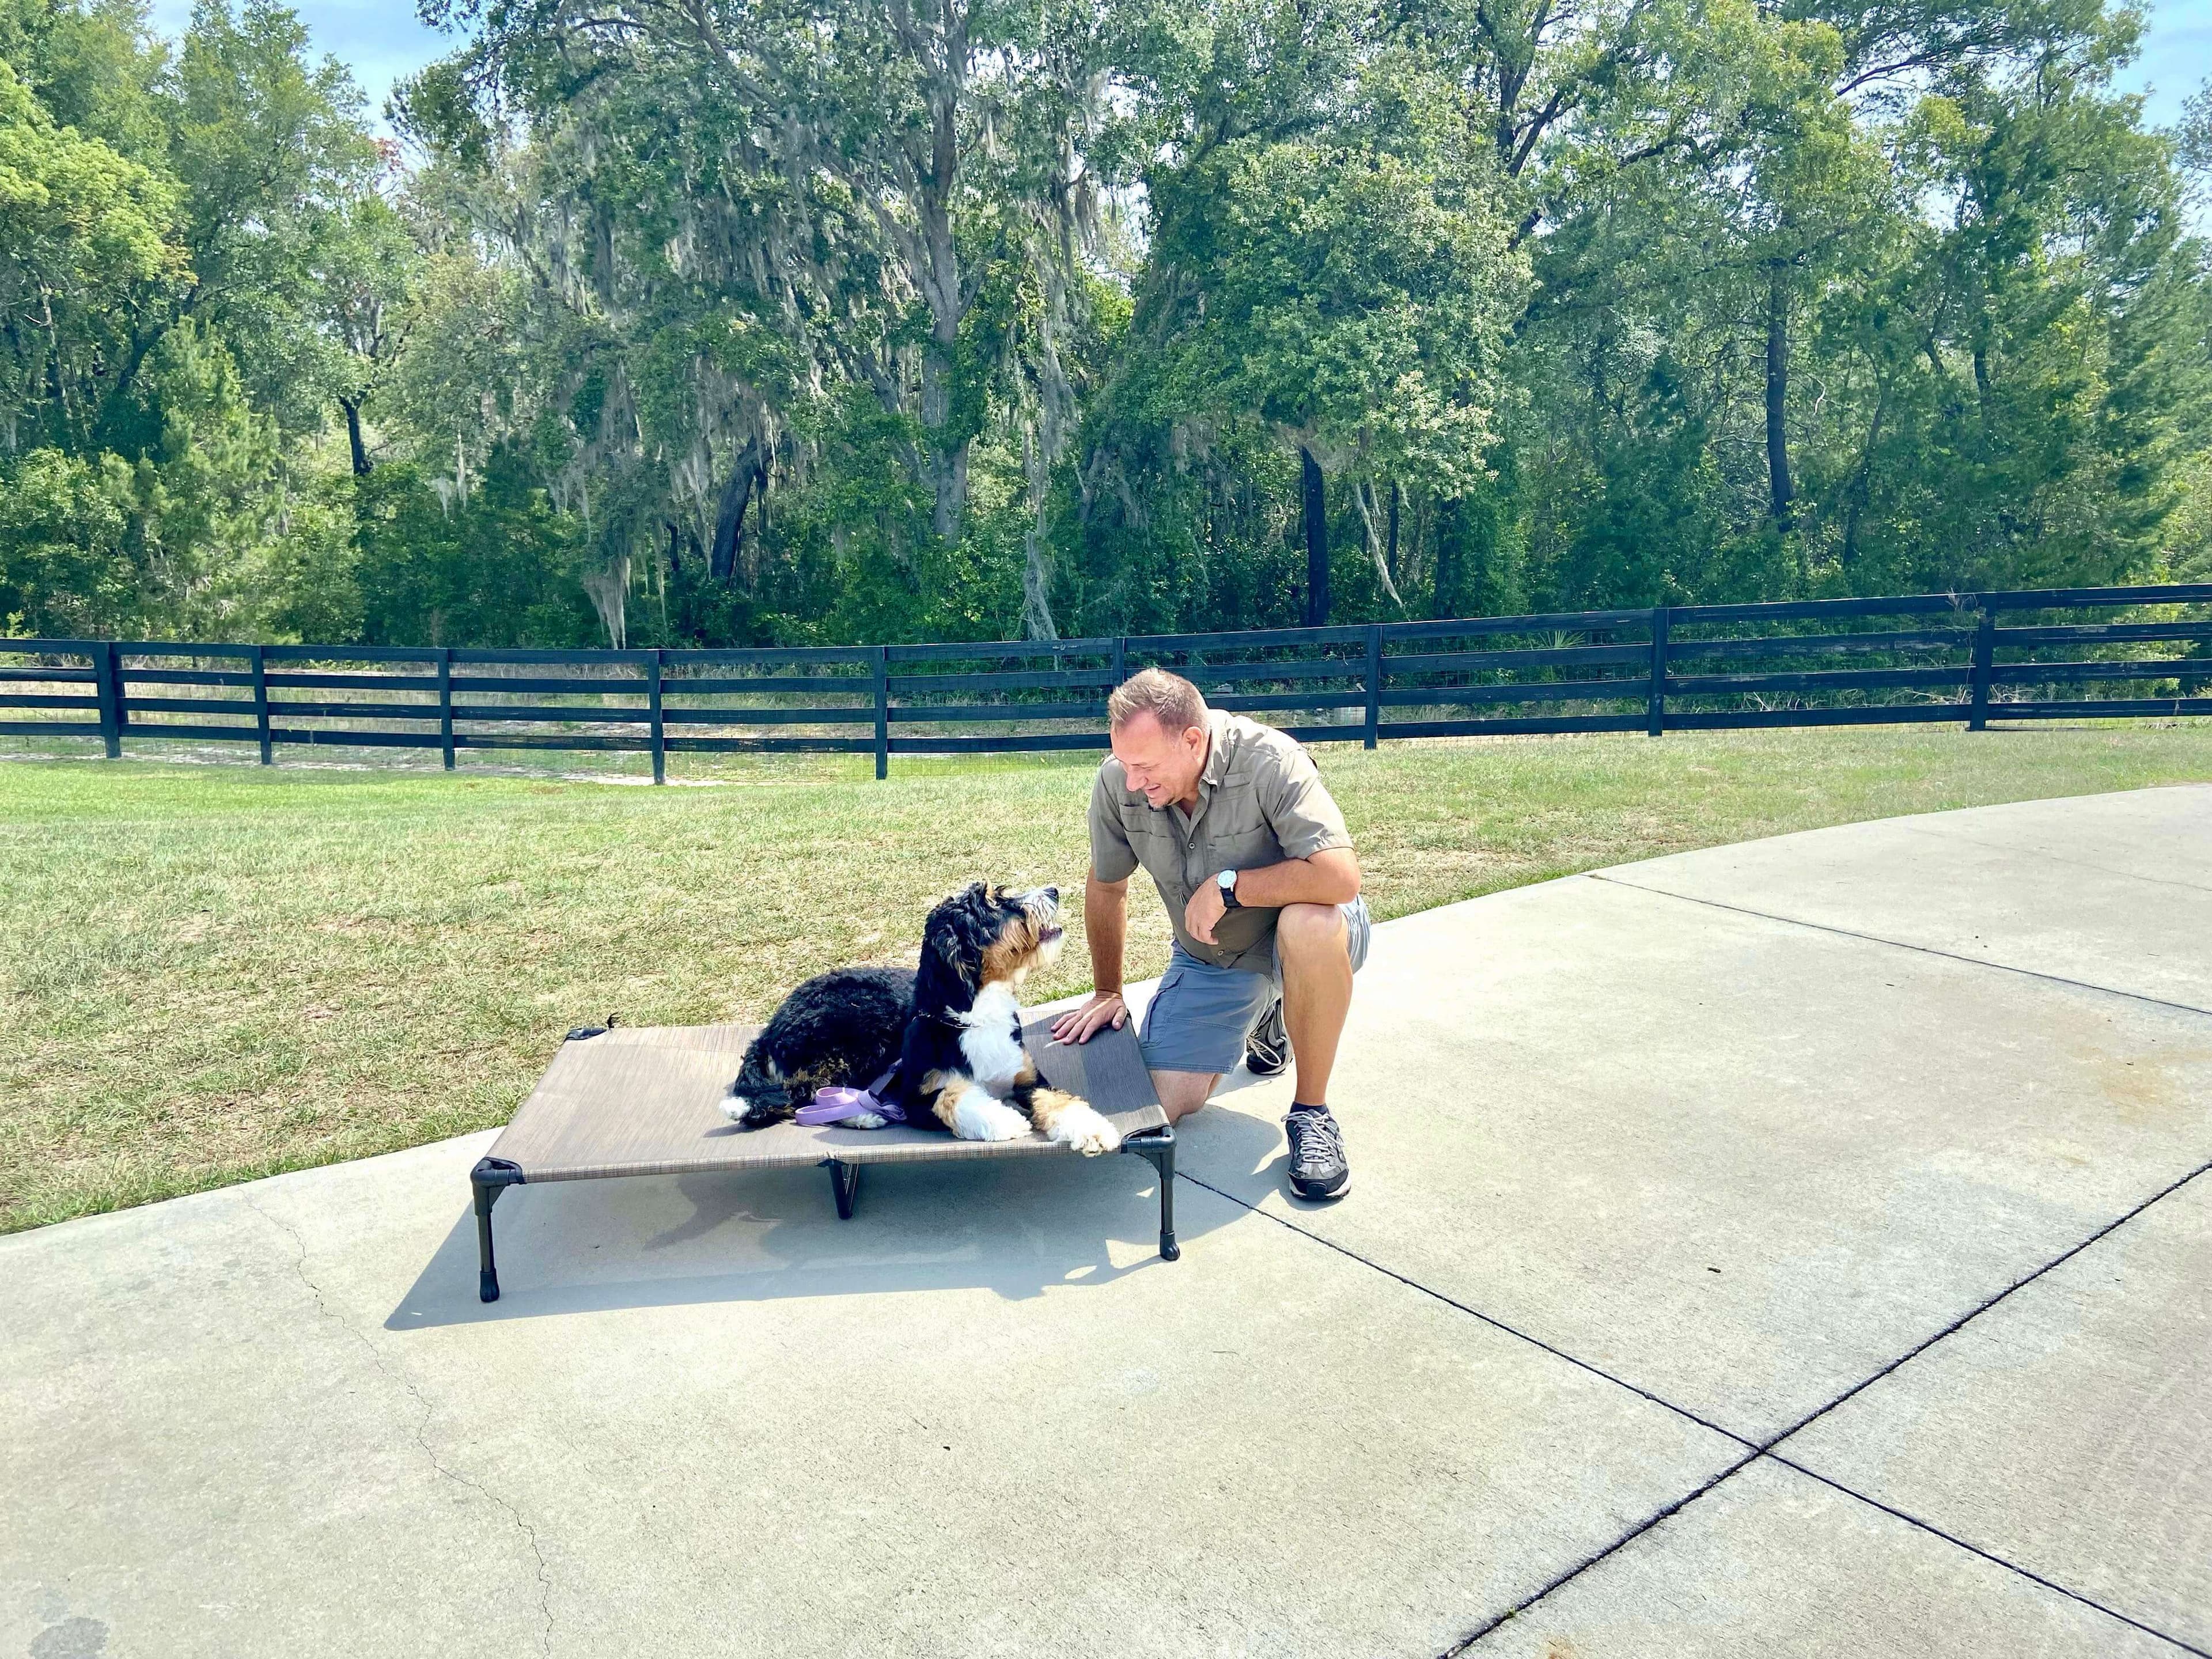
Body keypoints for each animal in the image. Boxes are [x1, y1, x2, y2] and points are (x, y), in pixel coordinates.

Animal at [717, 885, 1123, 1159]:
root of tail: (772, 1027)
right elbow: (951, 1097)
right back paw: (862, 1116)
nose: (1054, 891)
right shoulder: (914, 1094)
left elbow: (1059, 1101)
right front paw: (1004, 1120)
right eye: (993, 905)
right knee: (805, 1095)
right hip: (851, 1041)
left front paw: (1093, 1130)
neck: (976, 1017)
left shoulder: (1029, 1079)